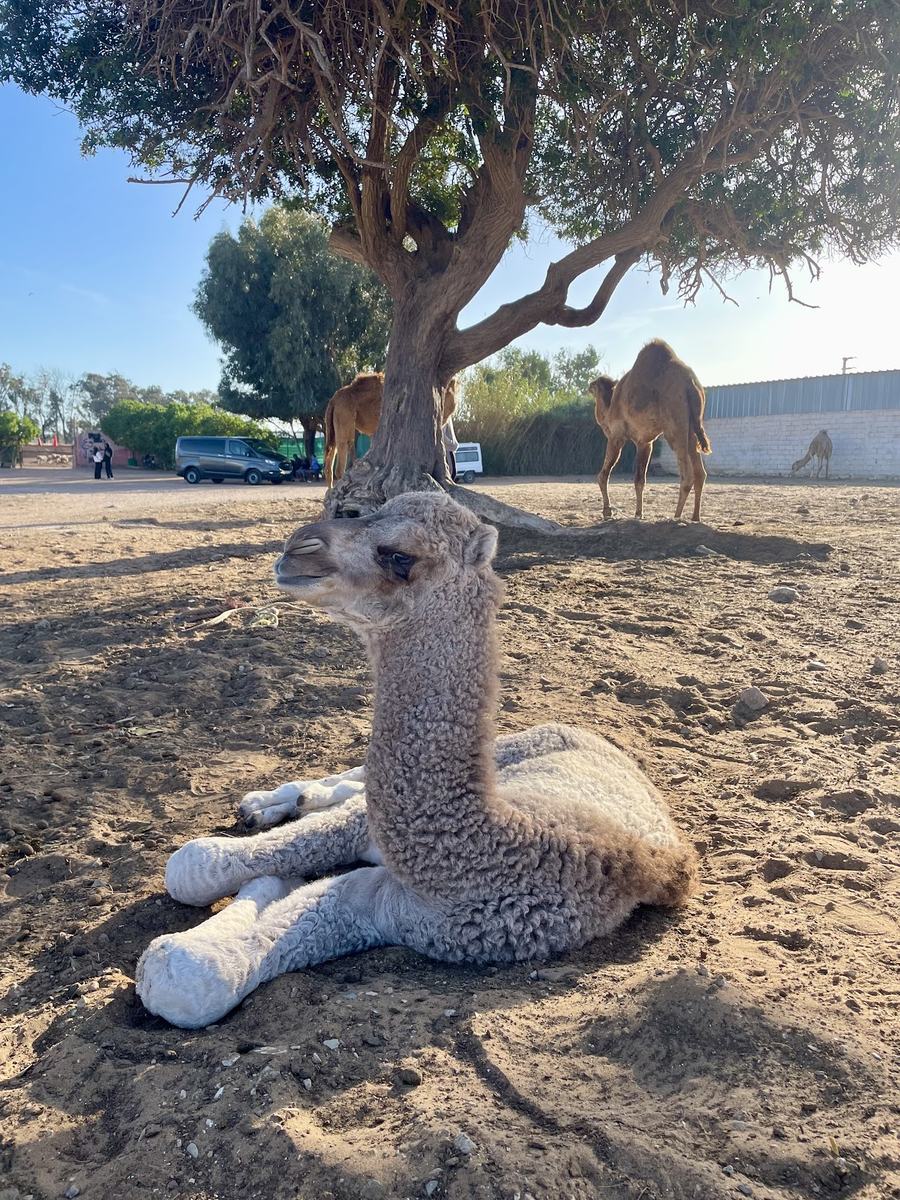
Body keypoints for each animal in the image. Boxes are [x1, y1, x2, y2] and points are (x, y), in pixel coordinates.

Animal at [136, 492, 698, 1029]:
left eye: (400, 556)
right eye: (368, 512)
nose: (297, 547)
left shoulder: (411, 916)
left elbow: (189, 963)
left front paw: (268, 887)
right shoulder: (380, 850)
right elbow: (195, 865)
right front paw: (268, 860)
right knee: (350, 779)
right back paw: (267, 803)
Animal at [589, 340, 711, 522]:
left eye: (595, 385)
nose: (588, 385)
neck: (609, 409)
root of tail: (691, 384)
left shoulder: (616, 436)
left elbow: (603, 475)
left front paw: (607, 512)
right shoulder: (645, 442)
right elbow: (640, 480)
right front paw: (638, 514)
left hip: (674, 426)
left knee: (687, 475)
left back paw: (676, 517)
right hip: (692, 427)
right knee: (700, 473)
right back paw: (695, 517)